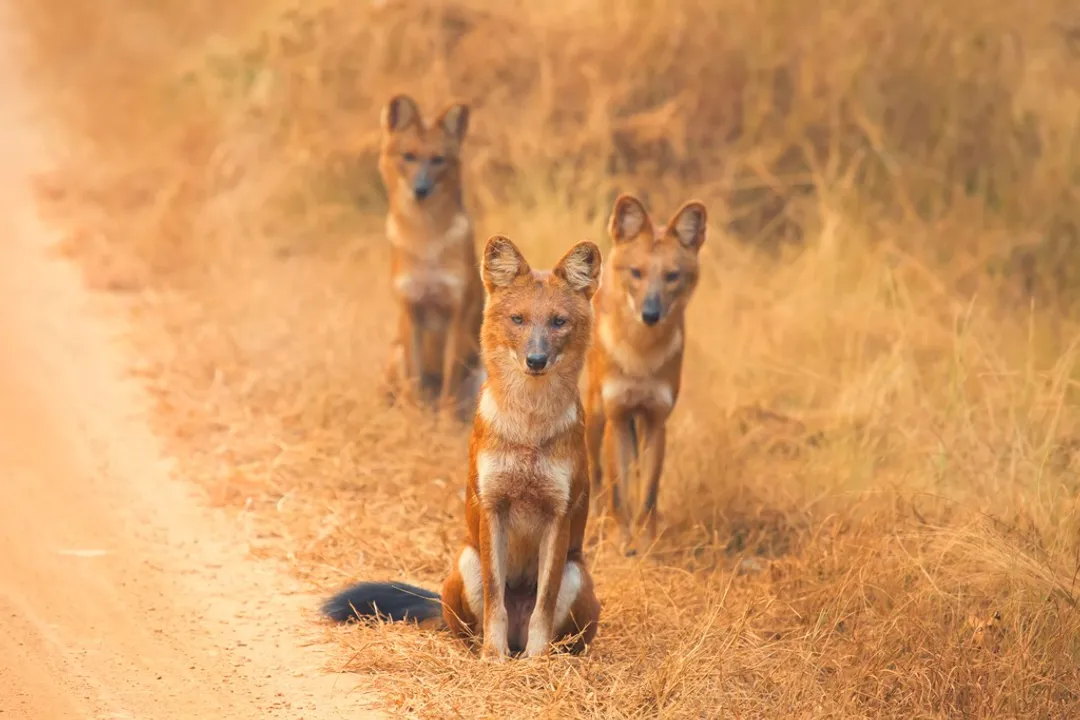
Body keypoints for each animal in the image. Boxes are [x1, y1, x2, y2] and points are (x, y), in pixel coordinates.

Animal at [323, 235, 604, 659]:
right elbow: (494, 598)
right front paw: (493, 657)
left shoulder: (559, 514)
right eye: (518, 319)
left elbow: (543, 603)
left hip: (576, 572)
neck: (529, 426)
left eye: (559, 322)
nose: (536, 360)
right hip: (466, 559)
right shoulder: (492, 507)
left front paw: (536, 662)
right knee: (468, 624)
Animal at [378, 93, 485, 416]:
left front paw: (446, 422)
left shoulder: (458, 314)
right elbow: (415, 380)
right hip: (395, 350)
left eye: (438, 160)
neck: (426, 239)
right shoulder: (410, 309)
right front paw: (415, 419)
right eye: (408, 156)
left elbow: (450, 379)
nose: (421, 189)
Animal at [584, 194, 707, 553]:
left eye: (672, 276)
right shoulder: (617, 416)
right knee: (595, 469)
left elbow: (649, 492)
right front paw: (621, 540)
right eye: (636, 272)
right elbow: (616, 489)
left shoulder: (655, 419)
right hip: (595, 413)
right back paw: (594, 519)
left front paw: (647, 541)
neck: (641, 356)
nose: (650, 314)